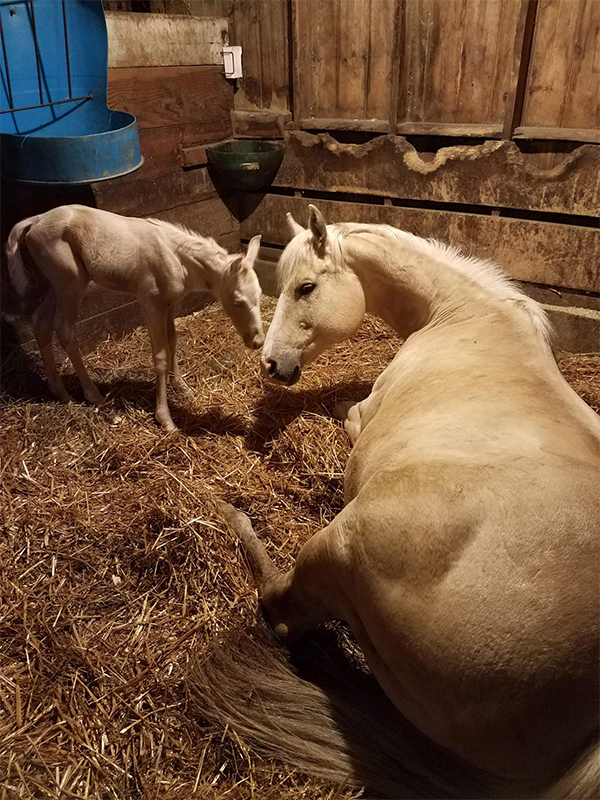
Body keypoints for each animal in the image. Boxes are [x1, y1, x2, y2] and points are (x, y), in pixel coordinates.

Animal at [4, 206, 262, 432]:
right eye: (238, 302)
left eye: (260, 294)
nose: (257, 341)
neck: (179, 259)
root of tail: (35, 221)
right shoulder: (149, 302)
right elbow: (160, 355)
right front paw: (165, 418)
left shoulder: (169, 302)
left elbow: (173, 341)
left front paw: (182, 386)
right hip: (71, 282)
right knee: (64, 329)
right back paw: (94, 396)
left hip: (54, 283)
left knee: (40, 321)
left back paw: (61, 393)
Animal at [217, 208, 600, 800]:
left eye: (306, 287)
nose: (271, 364)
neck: (459, 313)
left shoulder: (362, 415)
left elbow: (345, 412)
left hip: (336, 544)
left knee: (281, 611)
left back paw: (235, 517)